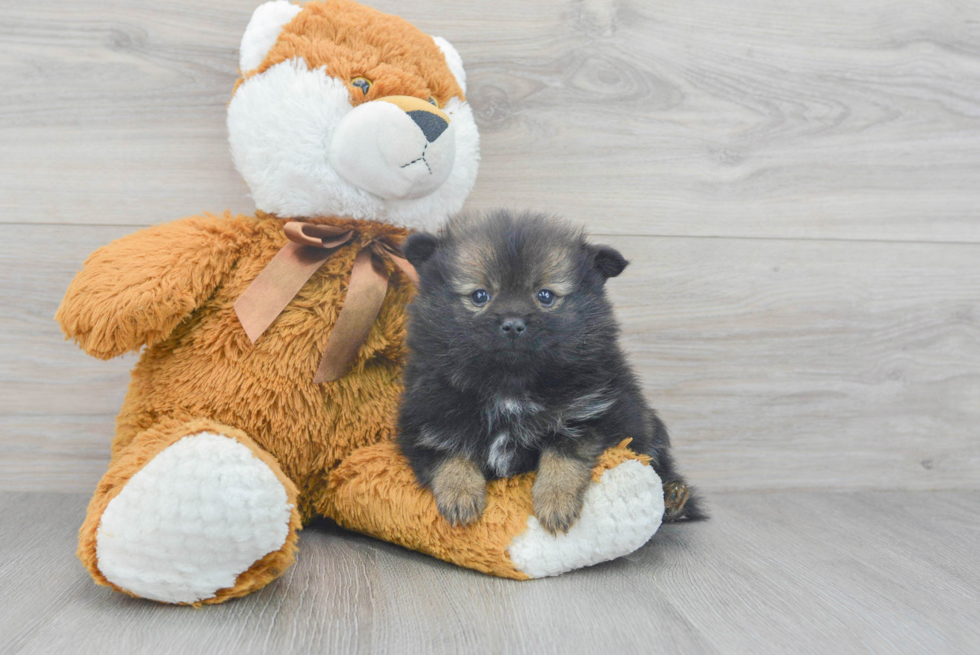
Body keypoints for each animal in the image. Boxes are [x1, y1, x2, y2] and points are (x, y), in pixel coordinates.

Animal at [398, 210, 704, 532]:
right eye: (480, 296)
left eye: (545, 296)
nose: (513, 324)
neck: (510, 385)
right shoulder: (426, 421)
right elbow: (449, 454)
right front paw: (460, 495)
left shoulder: (590, 418)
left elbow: (562, 456)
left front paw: (555, 502)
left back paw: (674, 497)